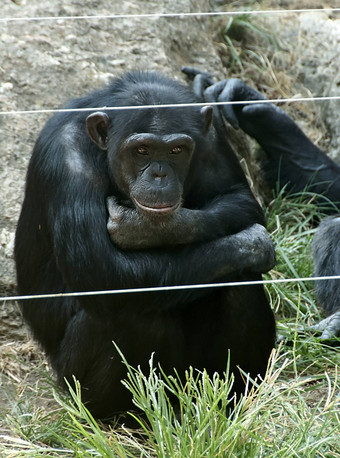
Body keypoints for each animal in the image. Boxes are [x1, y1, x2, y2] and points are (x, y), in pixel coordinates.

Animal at [15, 70, 276, 418]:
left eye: (177, 150)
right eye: (142, 150)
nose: (160, 175)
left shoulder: (212, 139)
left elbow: (238, 197)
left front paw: (141, 228)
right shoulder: (66, 162)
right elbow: (105, 273)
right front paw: (252, 243)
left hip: (191, 377)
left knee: (239, 280)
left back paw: (226, 402)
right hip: (71, 381)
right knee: (135, 311)